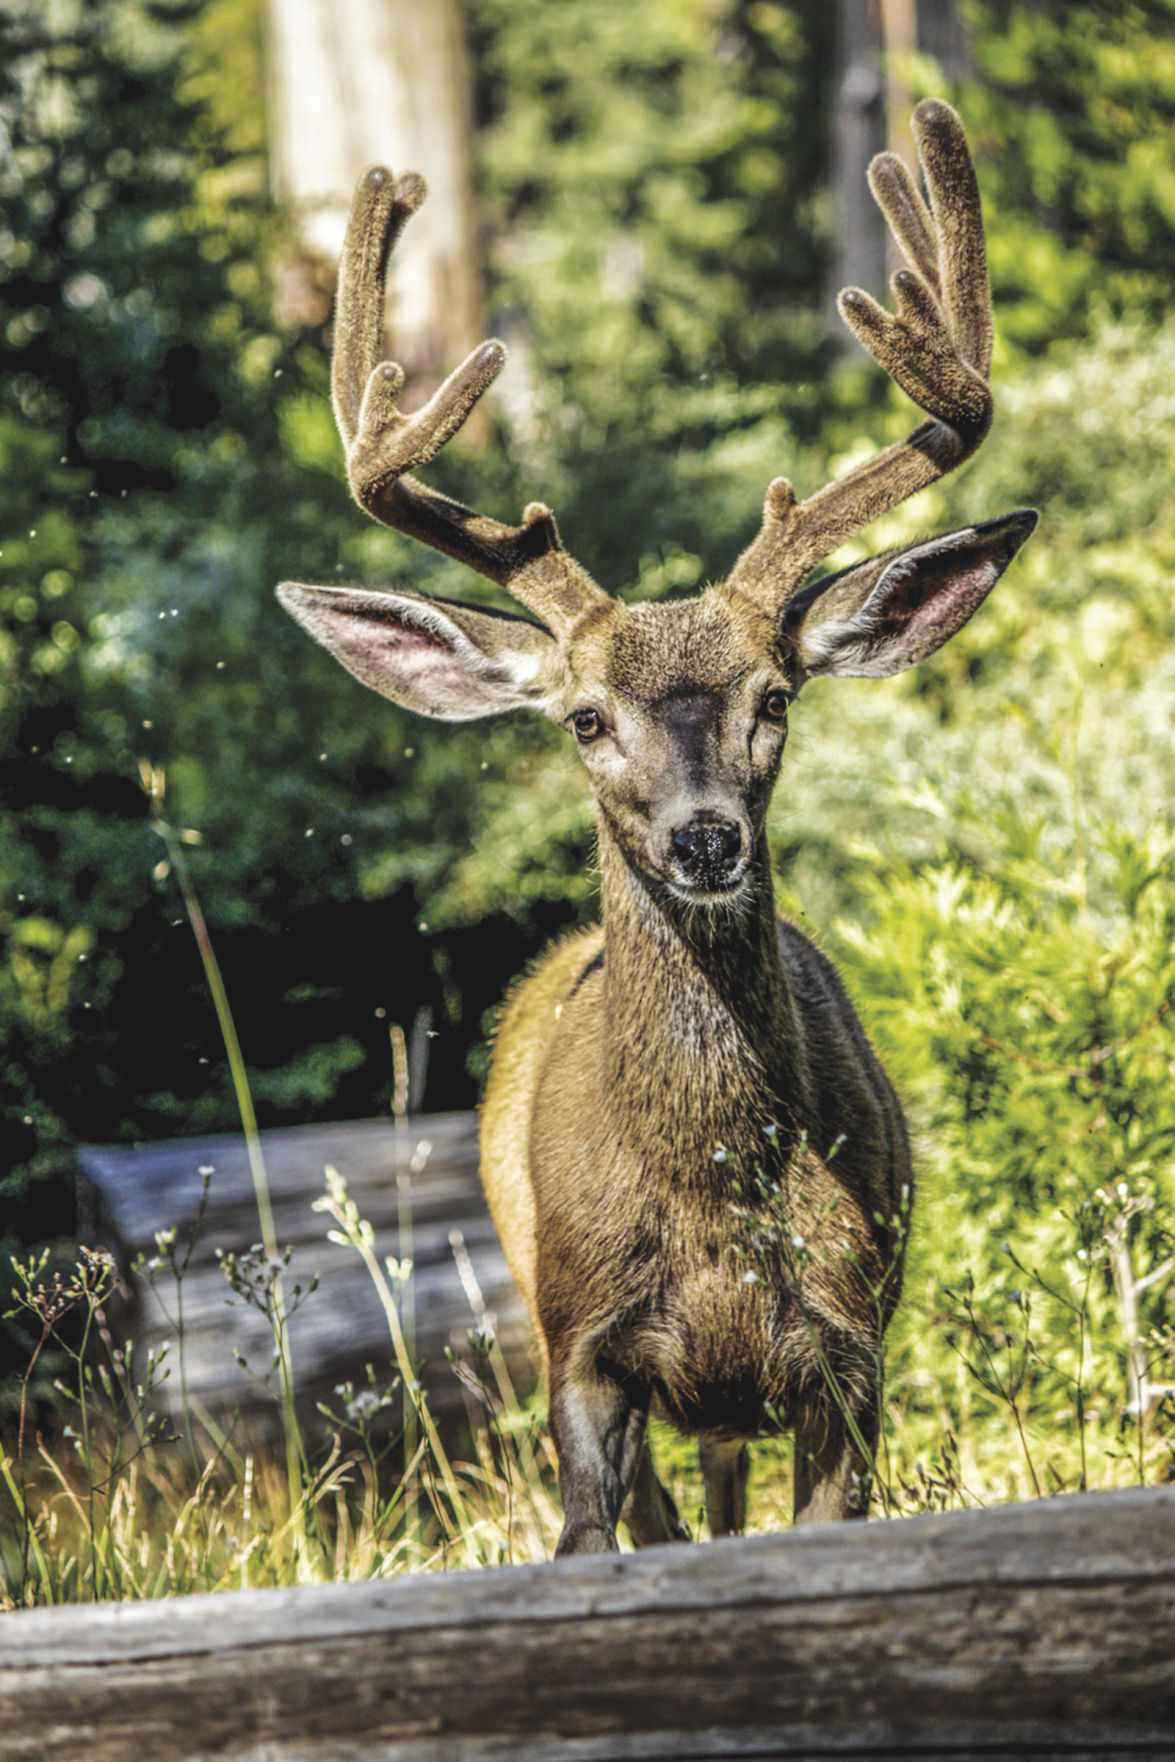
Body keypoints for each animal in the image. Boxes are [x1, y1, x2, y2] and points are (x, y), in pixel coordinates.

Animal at [278, 99, 1036, 1557]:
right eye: (583, 717)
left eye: (773, 696)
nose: (701, 840)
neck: (712, 1203)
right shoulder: (583, 1343)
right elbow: (594, 1537)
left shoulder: (846, 1348)